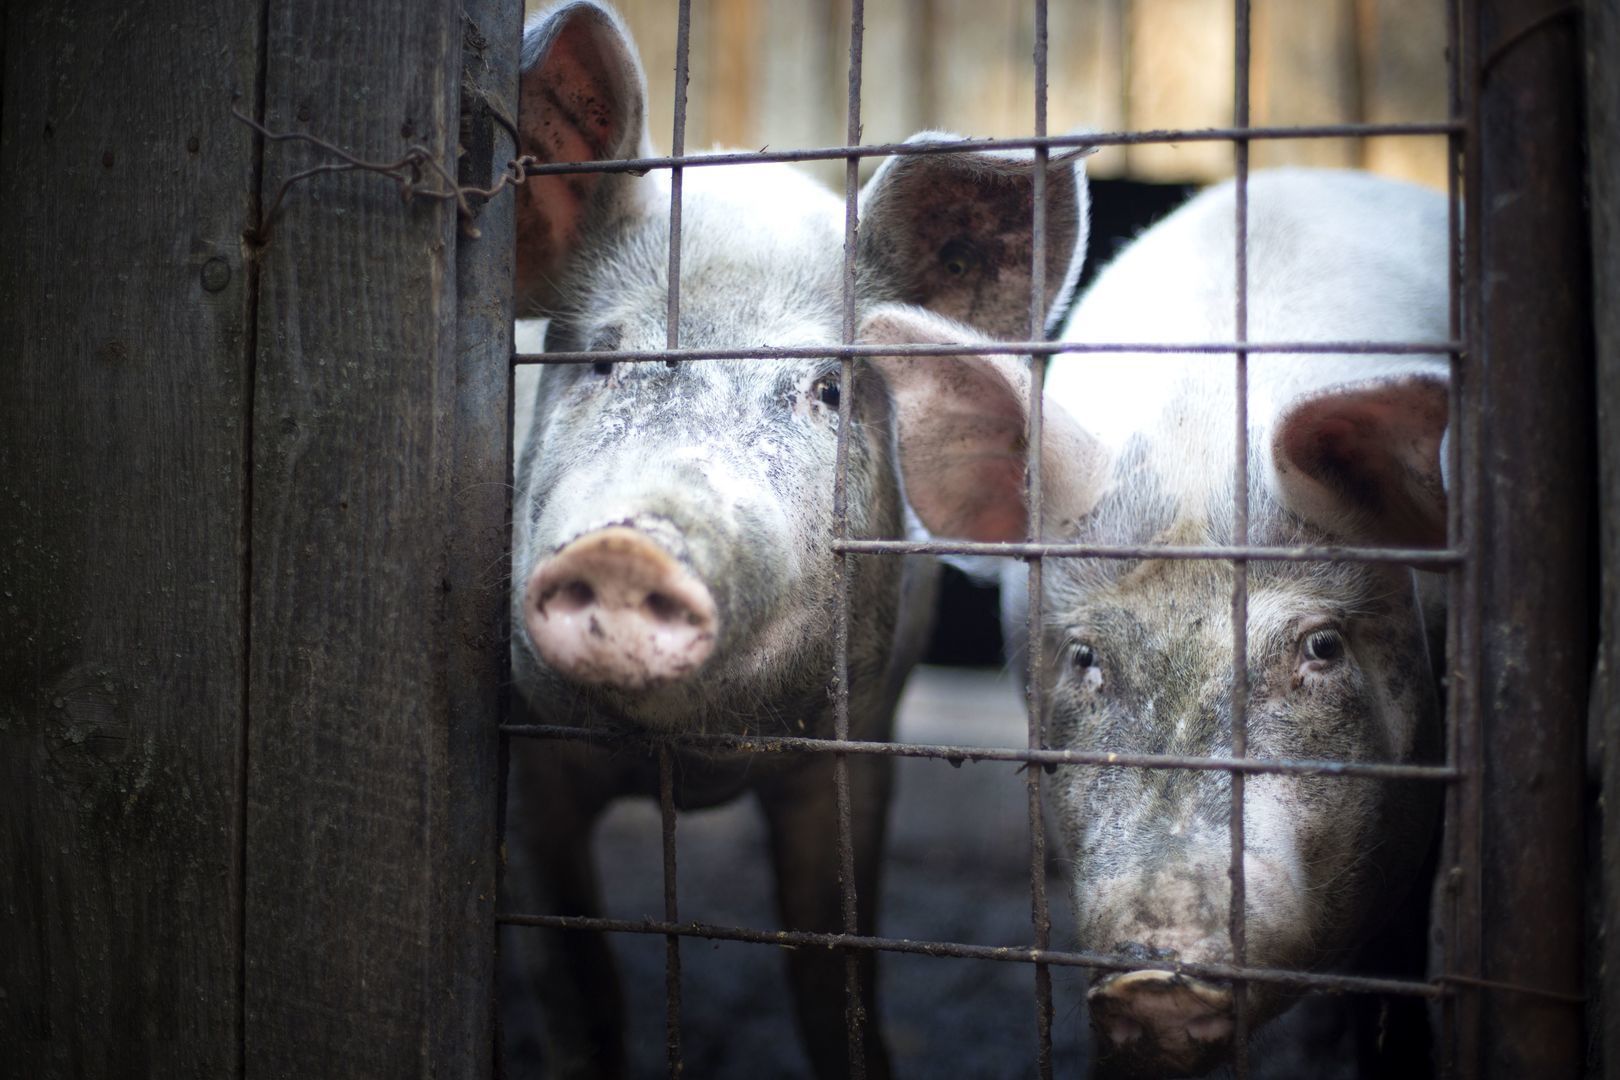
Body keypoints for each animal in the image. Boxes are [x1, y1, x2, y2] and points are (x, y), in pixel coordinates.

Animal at [501, 4, 1090, 1077]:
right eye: (602, 359)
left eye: (826, 389)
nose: (627, 549)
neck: (691, 771)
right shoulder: (528, 768)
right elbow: (581, 992)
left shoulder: (861, 744)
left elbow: (835, 977)